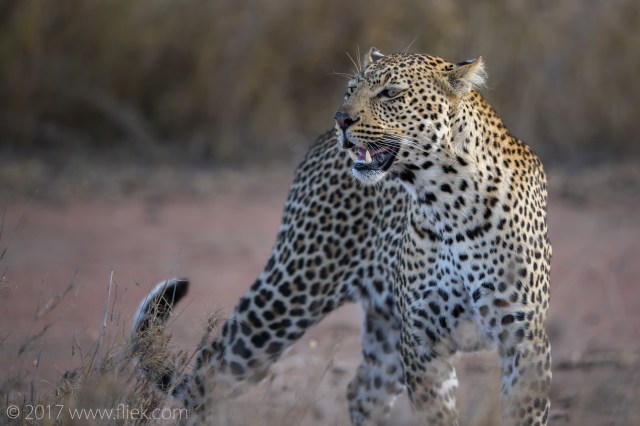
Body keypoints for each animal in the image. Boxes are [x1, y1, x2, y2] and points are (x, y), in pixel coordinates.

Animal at [131, 48, 551, 426]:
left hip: (384, 326)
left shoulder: (524, 339)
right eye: (351, 89)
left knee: (363, 391)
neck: (447, 203)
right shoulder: (422, 341)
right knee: (210, 371)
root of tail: (318, 142)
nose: (342, 119)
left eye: (390, 93)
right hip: (292, 289)